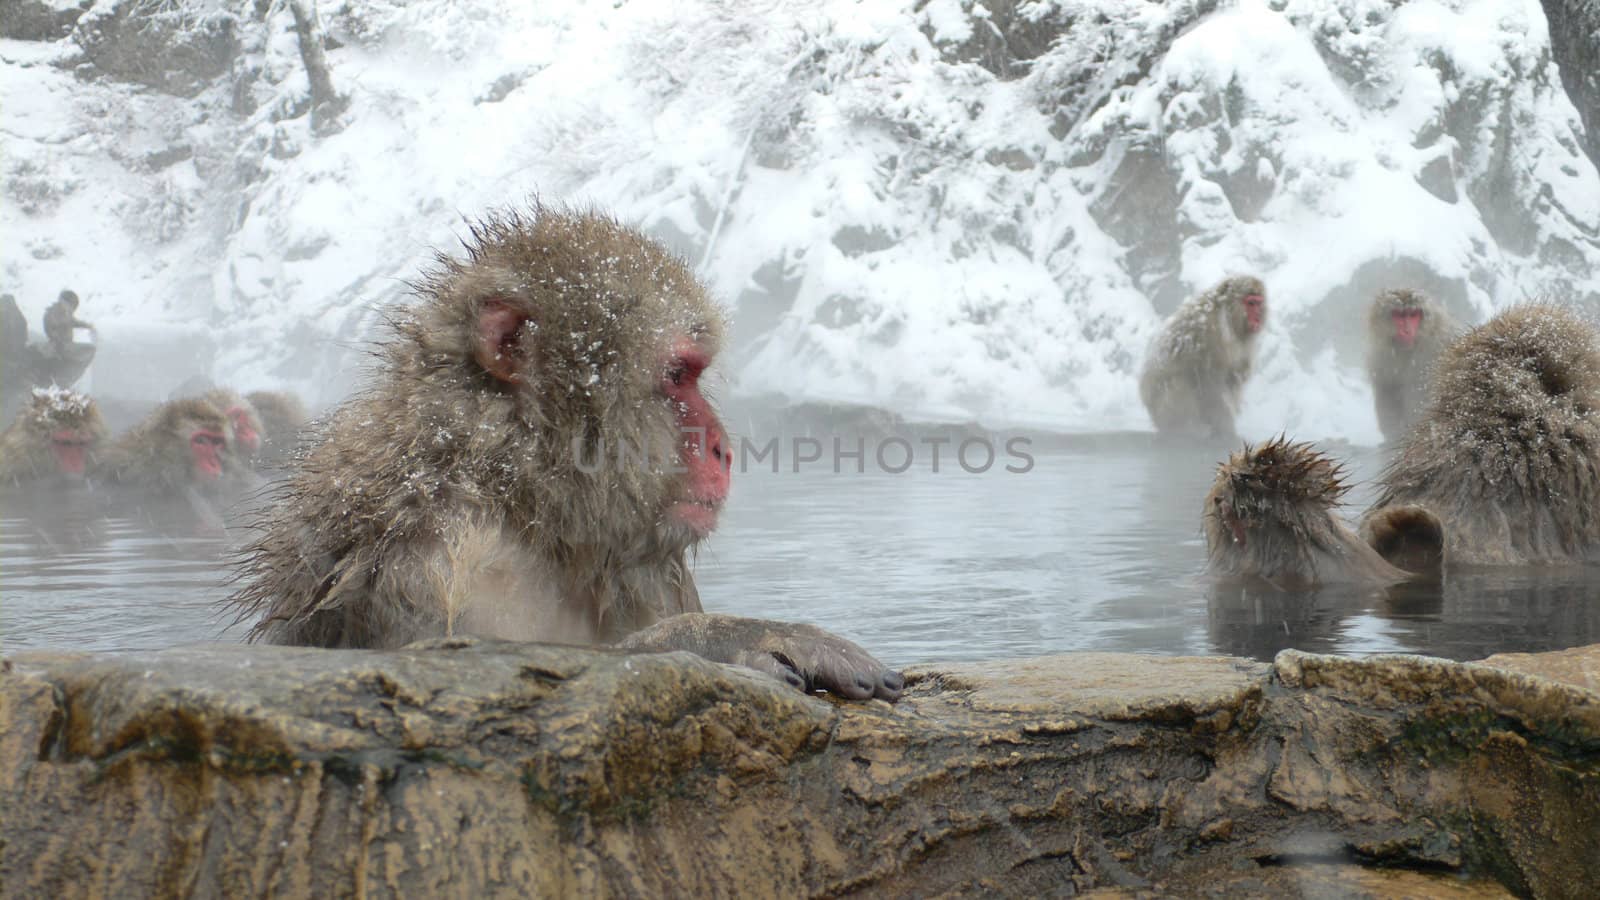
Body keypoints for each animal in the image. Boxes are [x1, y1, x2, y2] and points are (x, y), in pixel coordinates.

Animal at [224, 204, 902, 701]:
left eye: (694, 374)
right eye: (677, 376)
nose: (722, 447)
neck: (523, 499)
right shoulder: (436, 559)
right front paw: (731, 639)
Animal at [1145, 275, 1267, 438]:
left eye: (1259, 303)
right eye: (1251, 303)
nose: (1258, 317)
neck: (1227, 317)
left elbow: (1235, 375)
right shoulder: (1208, 333)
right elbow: (1207, 382)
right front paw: (1225, 428)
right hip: (1164, 410)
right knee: (1180, 382)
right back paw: (1187, 429)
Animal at [1369, 286, 1459, 441]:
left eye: (1413, 315)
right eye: (1399, 315)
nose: (1407, 330)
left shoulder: (1438, 348)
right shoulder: (1381, 356)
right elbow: (1387, 390)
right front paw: (1394, 434)